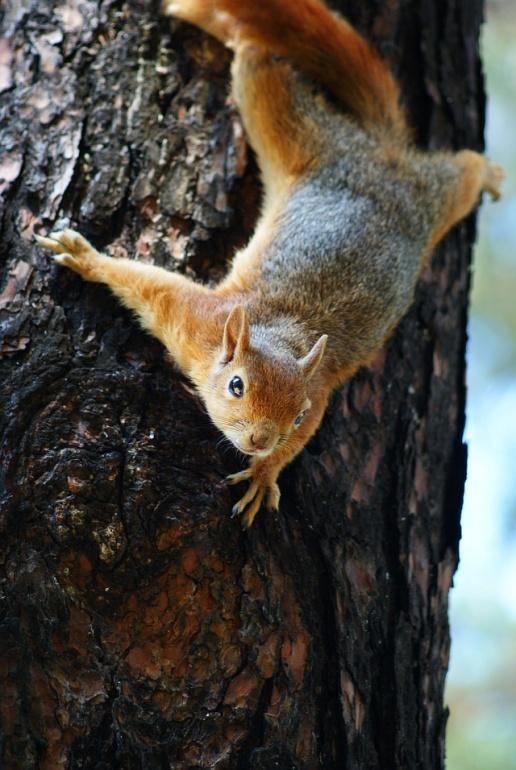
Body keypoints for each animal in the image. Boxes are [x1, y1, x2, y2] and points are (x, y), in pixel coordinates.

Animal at [36, 0, 504, 524]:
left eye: (296, 414)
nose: (260, 440)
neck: (281, 333)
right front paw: (88, 257)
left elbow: (301, 439)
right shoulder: (196, 320)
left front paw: (265, 472)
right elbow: (148, 284)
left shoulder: (320, 389)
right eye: (236, 386)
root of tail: (382, 156)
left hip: (433, 200)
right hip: (296, 129)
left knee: (460, 171)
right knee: (258, 57)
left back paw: (487, 171)